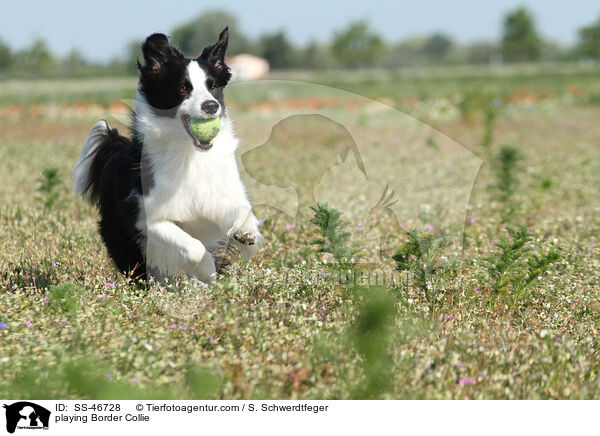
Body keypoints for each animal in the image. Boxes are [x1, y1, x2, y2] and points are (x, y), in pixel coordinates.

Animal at [72, 29, 262, 284]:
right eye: (182, 89)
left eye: (213, 87)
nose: (211, 106)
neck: (190, 154)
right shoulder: (150, 219)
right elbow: (193, 247)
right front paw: (206, 269)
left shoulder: (218, 196)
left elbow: (242, 209)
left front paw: (246, 233)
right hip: (123, 239)